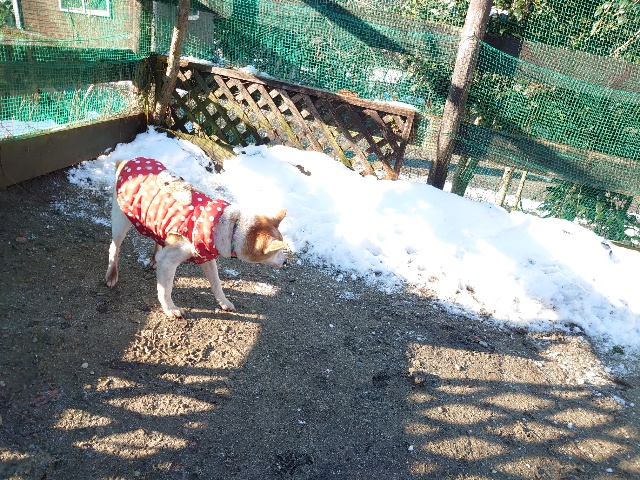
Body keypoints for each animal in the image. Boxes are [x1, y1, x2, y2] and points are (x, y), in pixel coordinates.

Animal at [105, 157, 287, 317]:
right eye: (275, 252)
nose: (286, 262)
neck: (230, 227)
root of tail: (127, 161)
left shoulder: (206, 257)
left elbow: (216, 283)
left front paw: (224, 302)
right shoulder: (168, 261)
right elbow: (165, 290)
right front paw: (170, 310)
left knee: (156, 240)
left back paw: (153, 258)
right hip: (122, 220)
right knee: (114, 247)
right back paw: (112, 274)